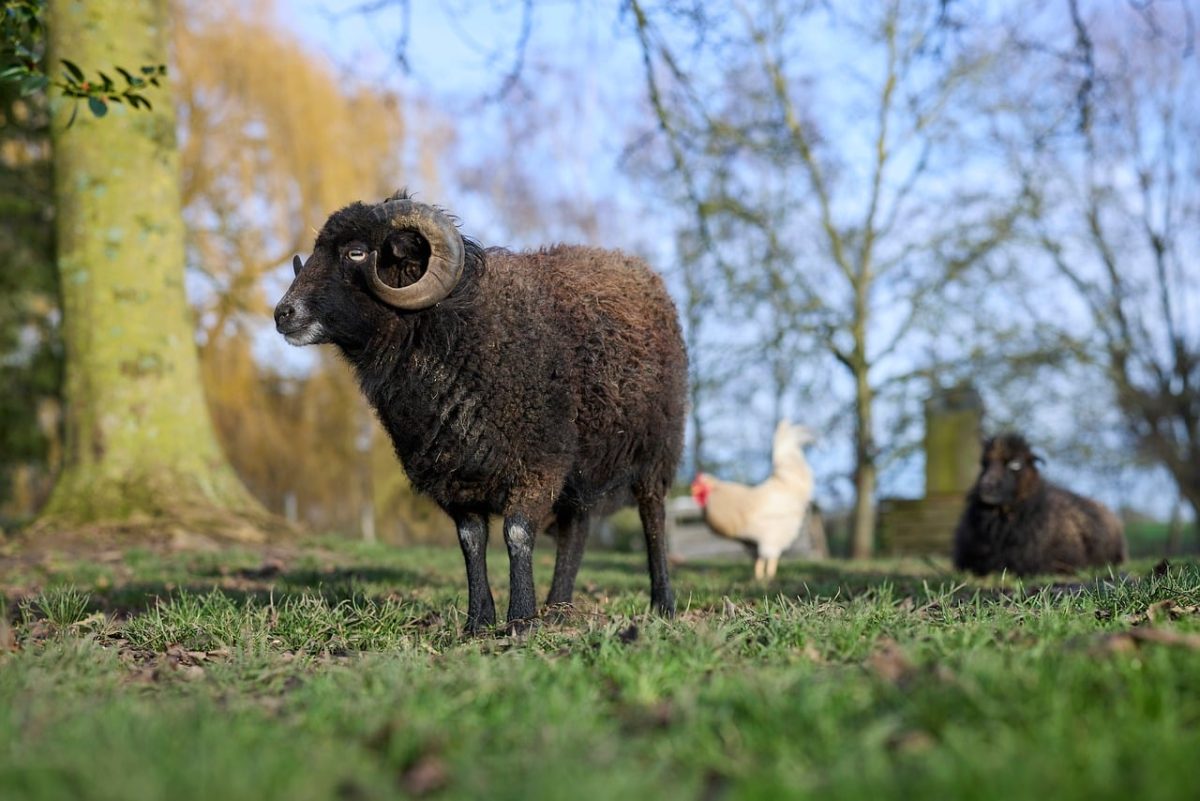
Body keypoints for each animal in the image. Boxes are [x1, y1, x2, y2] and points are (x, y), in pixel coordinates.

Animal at [273, 191, 688, 631]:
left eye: (355, 252)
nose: (282, 314)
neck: (455, 332)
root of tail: (636, 267)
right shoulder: (455, 475)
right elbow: (471, 542)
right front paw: (478, 622)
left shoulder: (538, 463)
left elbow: (517, 533)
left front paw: (520, 618)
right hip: (581, 464)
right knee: (576, 528)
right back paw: (558, 608)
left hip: (655, 450)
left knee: (653, 519)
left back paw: (662, 604)